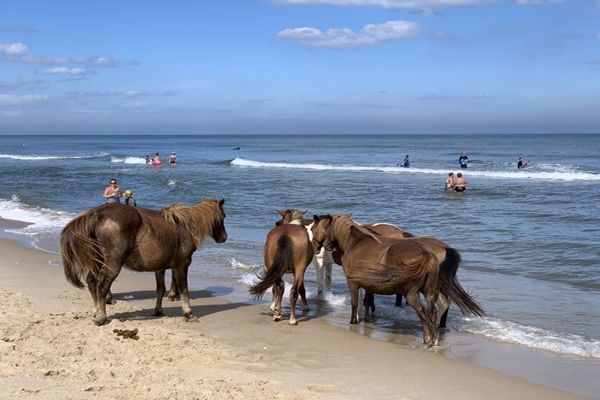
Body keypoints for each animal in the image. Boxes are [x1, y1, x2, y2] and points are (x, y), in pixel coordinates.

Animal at [60, 199, 227, 324]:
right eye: (223, 216)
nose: (224, 238)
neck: (184, 226)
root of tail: (97, 213)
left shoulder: (160, 268)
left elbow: (160, 289)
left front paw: (158, 311)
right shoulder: (181, 265)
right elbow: (184, 289)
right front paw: (188, 314)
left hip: (98, 261)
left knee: (92, 282)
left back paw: (96, 312)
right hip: (113, 263)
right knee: (102, 285)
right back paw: (101, 317)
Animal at [310, 214, 482, 346]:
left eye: (313, 229)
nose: (318, 247)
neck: (355, 243)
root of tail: (427, 254)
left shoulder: (353, 283)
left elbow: (355, 303)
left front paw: (353, 321)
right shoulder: (369, 284)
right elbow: (366, 301)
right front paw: (367, 320)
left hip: (413, 294)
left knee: (424, 311)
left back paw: (428, 339)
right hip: (430, 292)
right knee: (433, 311)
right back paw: (434, 338)